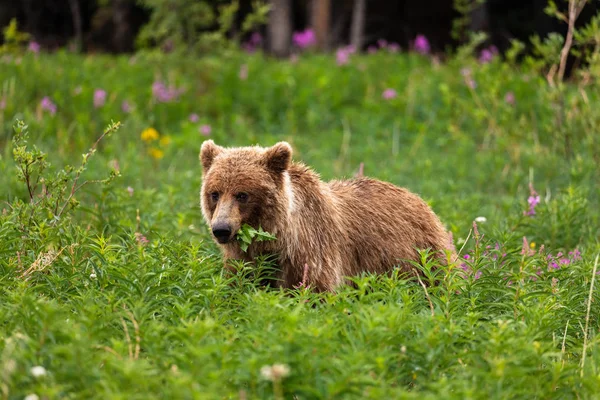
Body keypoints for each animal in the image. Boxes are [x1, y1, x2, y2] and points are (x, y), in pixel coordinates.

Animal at [198, 140, 454, 290]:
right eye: (214, 193)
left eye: (242, 194)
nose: (221, 229)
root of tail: (419, 199)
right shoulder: (245, 258)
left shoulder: (311, 251)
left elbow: (316, 288)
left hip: (419, 255)